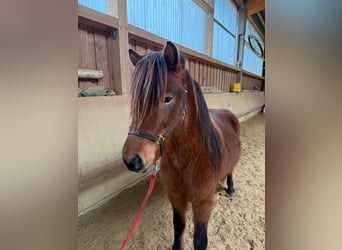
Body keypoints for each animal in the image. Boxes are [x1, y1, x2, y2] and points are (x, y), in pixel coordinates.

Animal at [122, 41, 240, 250]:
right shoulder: (176, 198)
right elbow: (178, 227)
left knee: (230, 171)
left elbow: (200, 240)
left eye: (167, 98)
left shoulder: (203, 202)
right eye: (137, 100)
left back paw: (231, 188)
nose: (131, 159)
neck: (188, 158)